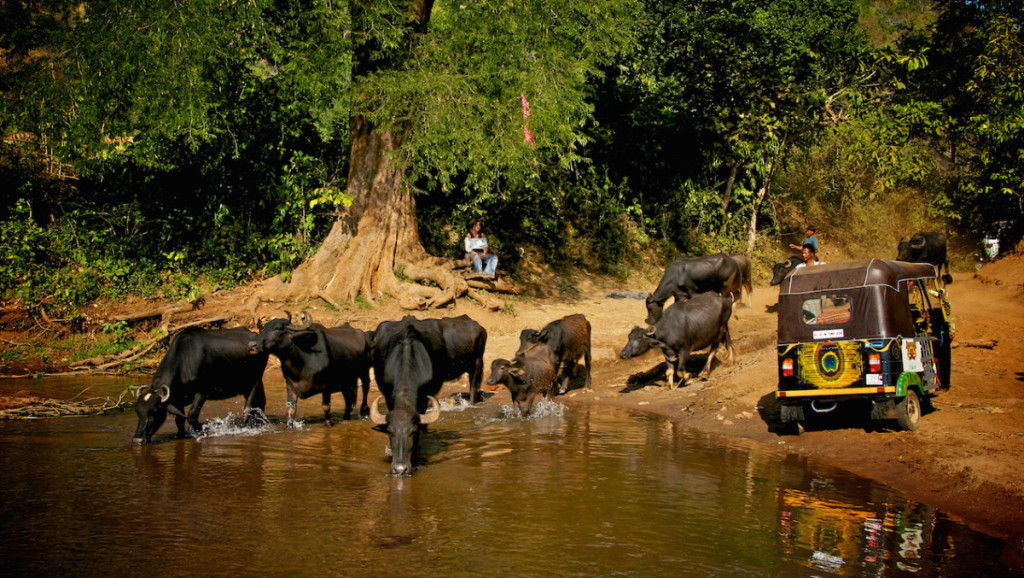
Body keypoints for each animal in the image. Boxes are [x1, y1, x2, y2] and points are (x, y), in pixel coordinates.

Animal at [132, 327, 268, 444]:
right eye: (137, 410)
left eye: (155, 410)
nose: (138, 440)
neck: (184, 361)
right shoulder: (178, 400)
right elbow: (179, 419)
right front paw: (180, 435)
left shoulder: (202, 393)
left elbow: (192, 416)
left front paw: (203, 430)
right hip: (245, 386)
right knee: (259, 403)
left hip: (255, 381)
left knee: (249, 407)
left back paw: (245, 425)